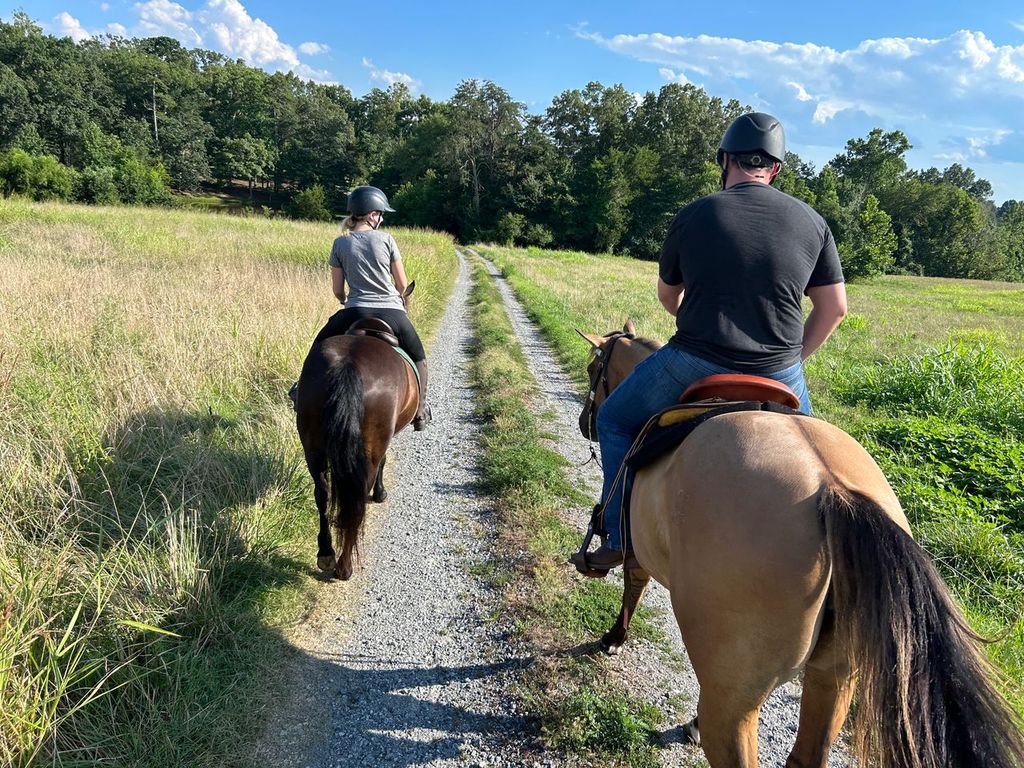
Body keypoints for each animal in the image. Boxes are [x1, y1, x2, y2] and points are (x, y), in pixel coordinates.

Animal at [296, 317, 419, 577]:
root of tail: (349, 365)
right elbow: (384, 461)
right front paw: (381, 493)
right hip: (370, 448)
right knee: (357, 499)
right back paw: (344, 567)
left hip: (313, 447)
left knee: (323, 493)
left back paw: (326, 554)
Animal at [577, 319, 1024, 768]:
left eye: (592, 369)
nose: (585, 423)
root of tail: (834, 491)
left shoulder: (636, 547)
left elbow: (633, 586)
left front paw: (613, 639)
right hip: (836, 674)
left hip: (735, 701)